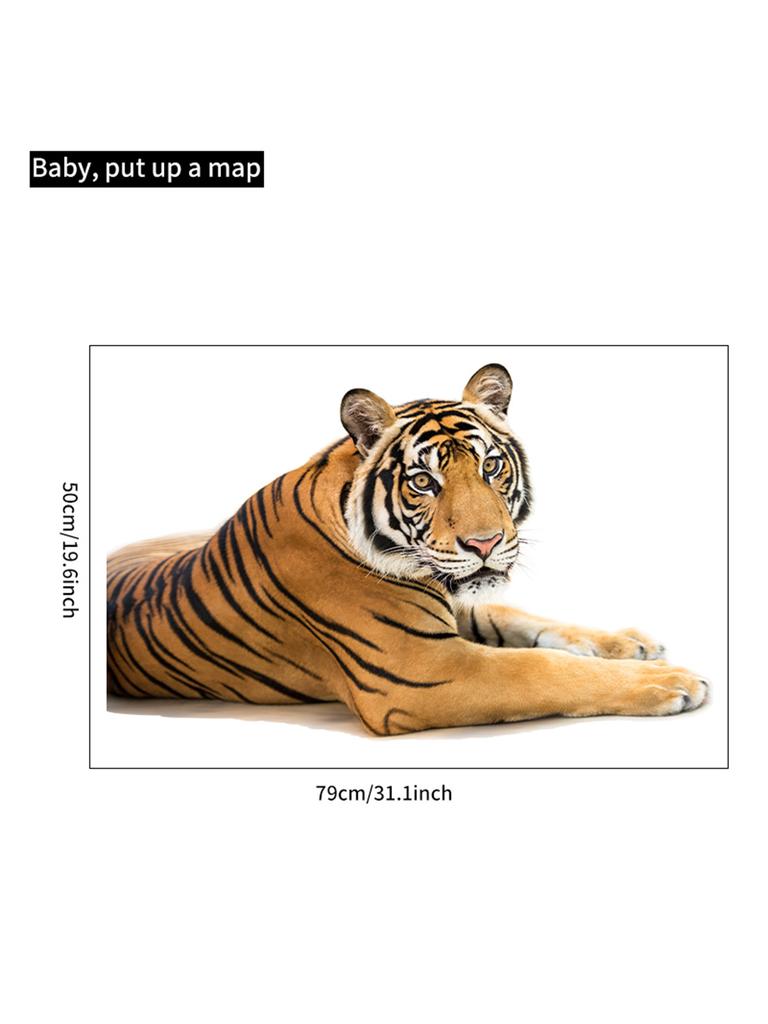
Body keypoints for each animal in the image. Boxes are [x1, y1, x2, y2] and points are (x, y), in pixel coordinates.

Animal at [106, 362, 708, 735]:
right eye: (423, 482)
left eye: (491, 466)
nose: (486, 542)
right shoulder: (423, 670)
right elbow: (543, 669)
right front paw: (673, 681)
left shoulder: (459, 607)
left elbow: (530, 623)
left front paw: (632, 644)